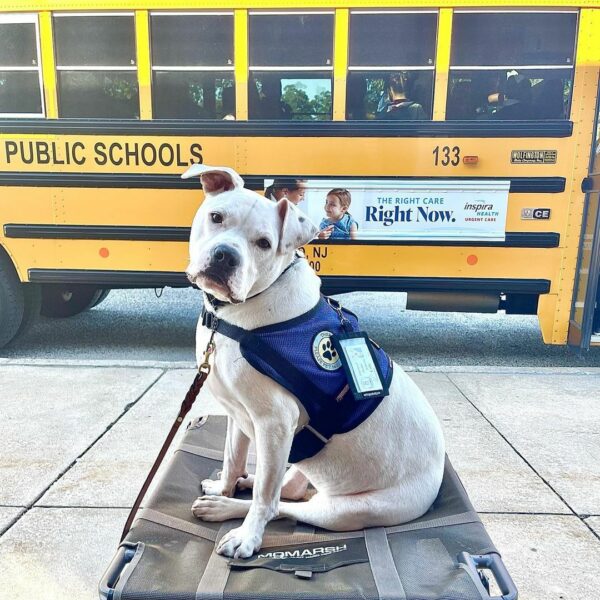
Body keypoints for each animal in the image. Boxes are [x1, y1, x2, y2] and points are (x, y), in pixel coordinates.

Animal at [184, 163, 446, 556]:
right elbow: (232, 458)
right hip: (299, 463)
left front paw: (248, 537)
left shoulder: (275, 423)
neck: (236, 312)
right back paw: (235, 490)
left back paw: (227, 510)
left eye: (264, 243)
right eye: (216, 217)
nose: (225, 256)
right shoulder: (237, 414)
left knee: (283, 504)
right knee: (288, 488)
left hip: (345, 509)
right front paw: (225, 484)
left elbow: (265, 500)